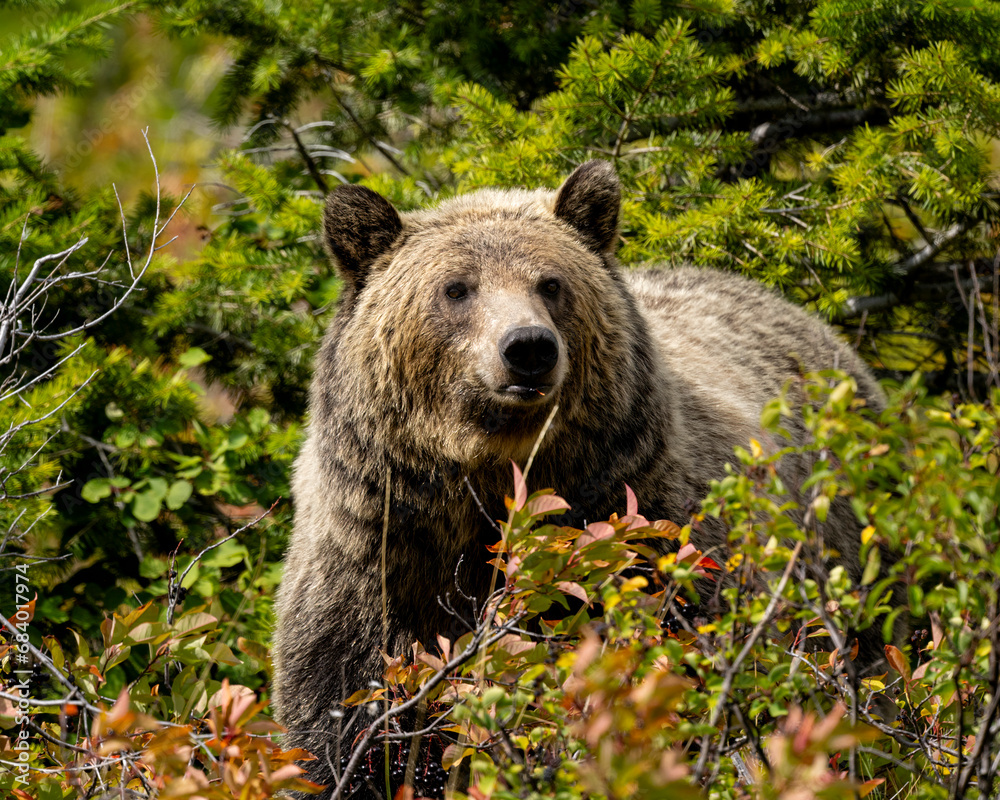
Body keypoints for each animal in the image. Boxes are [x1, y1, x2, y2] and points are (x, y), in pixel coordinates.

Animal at [272, 160, 886, 798]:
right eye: (456, 288)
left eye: (550, 283)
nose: (528, 347)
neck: (489, 480)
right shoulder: (376, 565)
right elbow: (340, 724)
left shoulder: (647, 526)